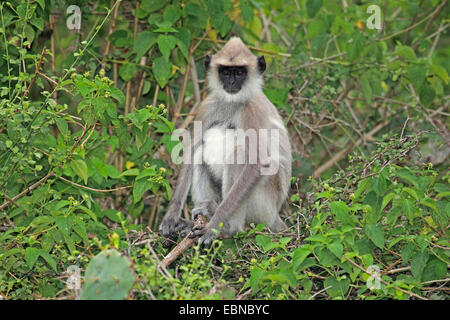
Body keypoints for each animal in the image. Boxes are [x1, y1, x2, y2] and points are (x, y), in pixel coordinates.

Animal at [159, 37, 292, 248]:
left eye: (239, 72)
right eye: (225, 72)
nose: (231, 82)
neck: (233, 102)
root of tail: (276, 215)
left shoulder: (252, 111)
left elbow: (258, 163)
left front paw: (213, 228)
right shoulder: (207, 106)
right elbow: (192, 150)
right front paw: (171, 217)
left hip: (264, 205)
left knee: (240, 154)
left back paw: (228, 227)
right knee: (200, 152)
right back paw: (202, 213)